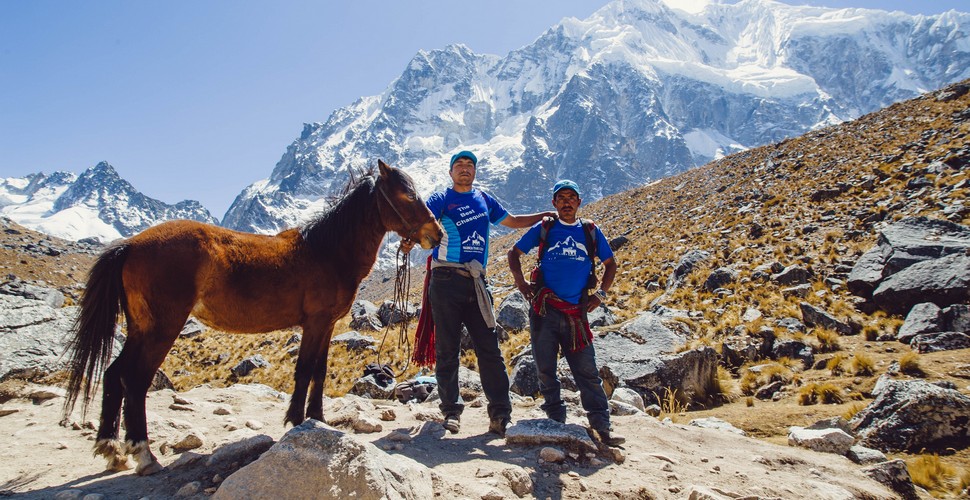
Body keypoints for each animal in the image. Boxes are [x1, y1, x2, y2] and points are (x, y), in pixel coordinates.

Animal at [61, 159, 438, 472]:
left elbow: (319, 371)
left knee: (113, 375)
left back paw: (112, 449)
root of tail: (131, 244)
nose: (437, 234)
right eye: (406, 196)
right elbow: (304, 370)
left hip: (141, 328)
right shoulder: (315, 322)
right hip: (161, 329)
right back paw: (143, 455)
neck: (327, 250)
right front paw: (295, 420)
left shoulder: (328, 324)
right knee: (135, 380)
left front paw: (317, 418)